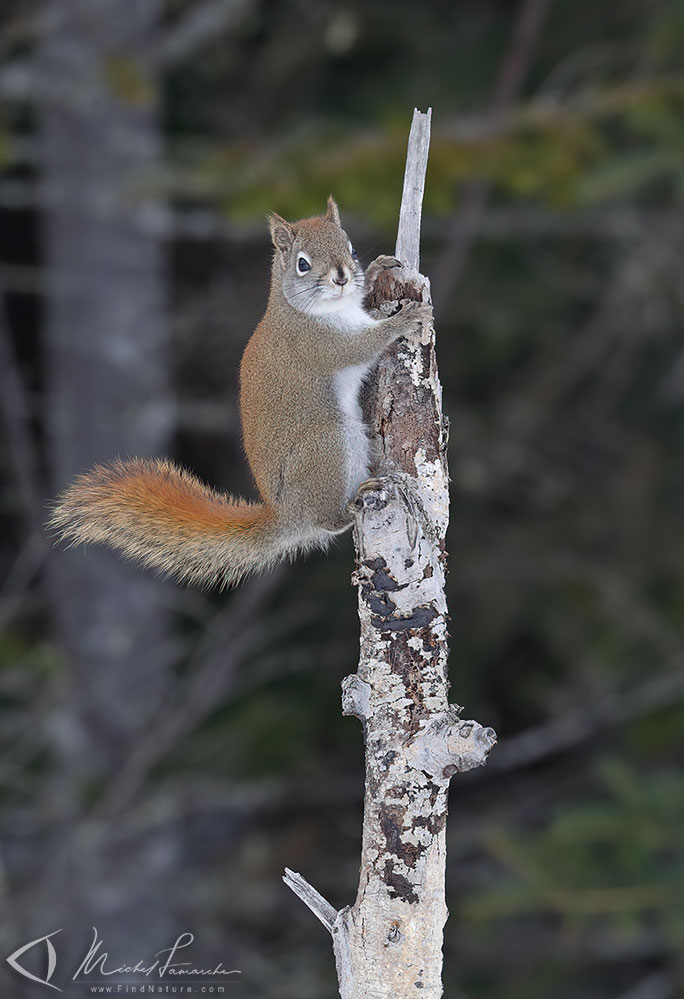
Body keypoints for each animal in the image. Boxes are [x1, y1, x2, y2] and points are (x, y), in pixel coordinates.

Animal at [50, 195, 430, 584]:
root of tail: (286, 517)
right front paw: (401, 320)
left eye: (351, 249)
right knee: (327, 520)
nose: (341, 277)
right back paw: (352, 506)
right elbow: (359, 347)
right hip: (328, 445)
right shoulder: (313, 344)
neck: (315, 309)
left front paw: (376, 270)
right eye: (302, 264)